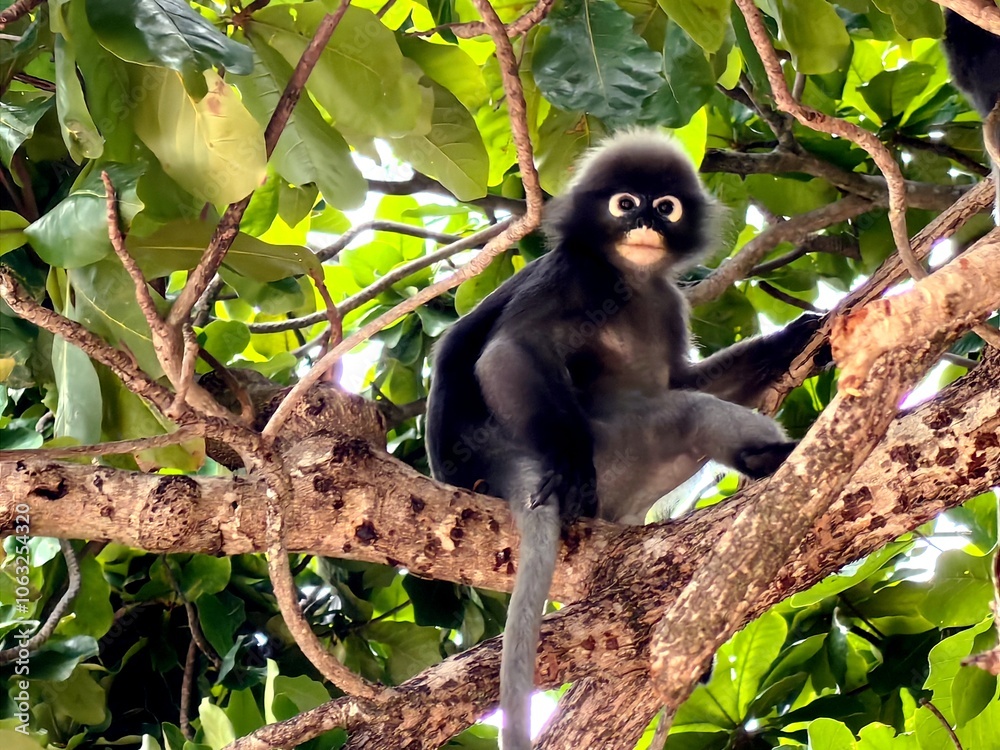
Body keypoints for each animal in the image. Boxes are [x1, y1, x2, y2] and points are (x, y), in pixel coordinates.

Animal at [424, 131, 821, 750]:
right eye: (625, 203)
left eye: (666, 207)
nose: (645, 223)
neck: (630, 277)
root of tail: (497, 461)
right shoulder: (572, 275)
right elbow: (508, 353)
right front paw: (567, 466)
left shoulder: (668, 300)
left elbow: (682, 377)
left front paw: (792, 341)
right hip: (617, 451)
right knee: (684, 414)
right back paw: (769, 456)